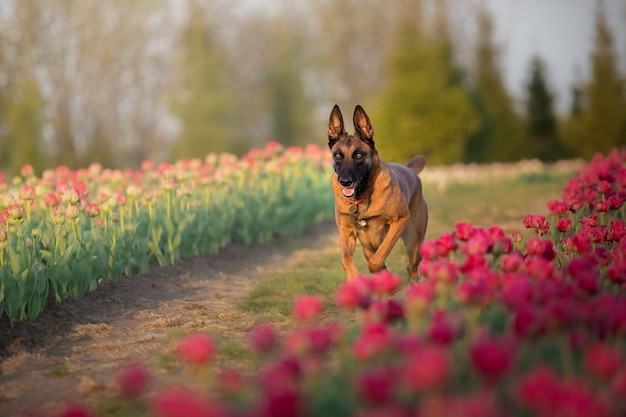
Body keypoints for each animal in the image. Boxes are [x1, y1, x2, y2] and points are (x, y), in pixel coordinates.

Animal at [324, 103, 426, 280]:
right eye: (338, 155)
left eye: (358, 155)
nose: (345, 181)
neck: (361, 198)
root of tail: (409, 170)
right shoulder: (346, 232)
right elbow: (346, 259)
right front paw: (354, 278)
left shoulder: (399, 221)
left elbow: (377, 259)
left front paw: (378, 273)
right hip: (367, 246)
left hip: (414, 243)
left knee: (411, 267)